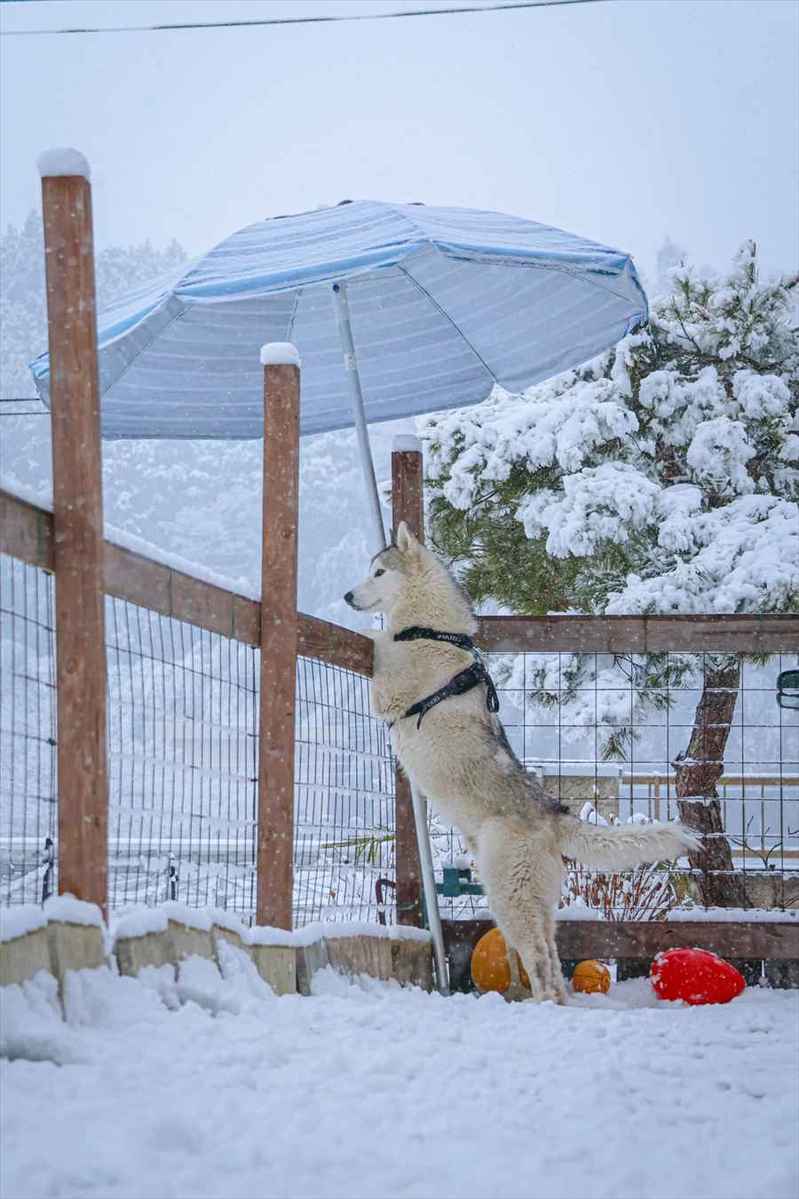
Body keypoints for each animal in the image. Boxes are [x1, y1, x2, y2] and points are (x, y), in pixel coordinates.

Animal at [345, 522, 695, 1002]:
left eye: (379, 572)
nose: (347, 596)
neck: (431, 629)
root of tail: (552, 814)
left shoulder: (391, 683)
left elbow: (379, 644)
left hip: (510, 898)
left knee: (542, 964)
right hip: (536, 903)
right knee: (552, 960)